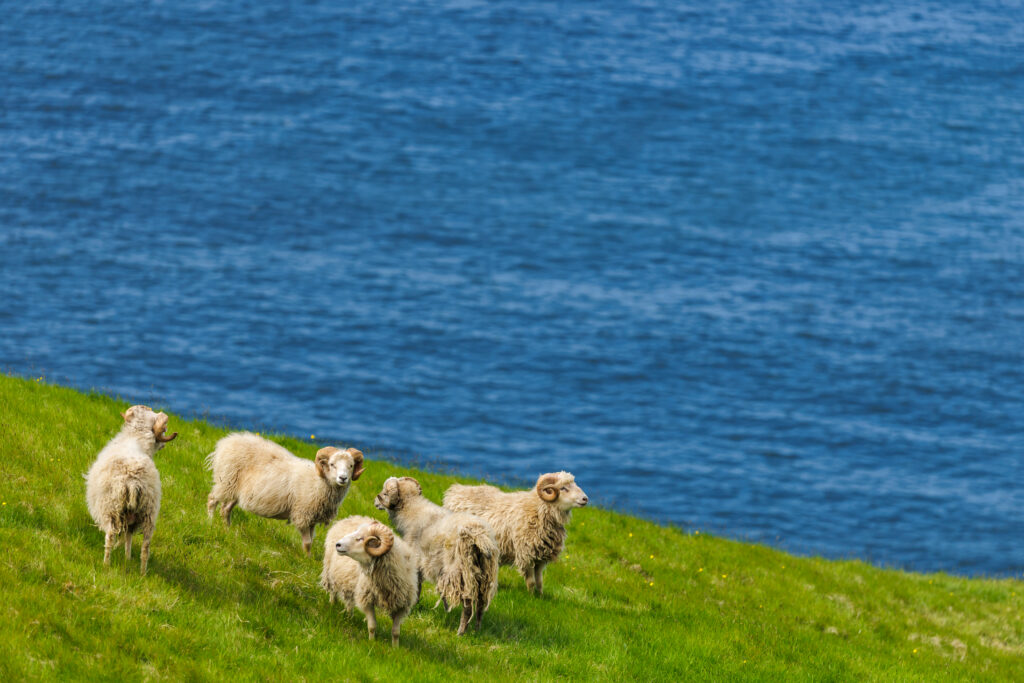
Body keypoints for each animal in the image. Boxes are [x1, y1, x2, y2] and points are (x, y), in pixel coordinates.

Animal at [85, 404, 178, 574]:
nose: (163, 445)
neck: (135, 439)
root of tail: (134, 481)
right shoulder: (132, 518)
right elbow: (128, 538)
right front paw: (127, 558)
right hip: (148, 514)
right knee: (145, 548)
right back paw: (142, 573)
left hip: (112, 509)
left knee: (110, 536)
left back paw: (106, 564)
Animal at [206, 432, 364, 554]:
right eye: (332, 464)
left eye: (351, 466)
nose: (343, 478)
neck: (319, 481)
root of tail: (225, 442)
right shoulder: (302, 515)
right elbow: (307, 542)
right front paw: (306, 559)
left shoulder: (313, 518)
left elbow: (311, 541)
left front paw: (309, 558)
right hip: (225, 482)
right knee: (212, 500)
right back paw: (211, 523)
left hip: (235, 490)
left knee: (225, 509)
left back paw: (227, 530)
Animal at [321, 515, 421, 646]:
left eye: (361, 538)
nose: (338, 544)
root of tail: (348, 518)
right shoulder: (366, 600)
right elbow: (372, 626)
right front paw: (372, 642)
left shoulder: (402, 606)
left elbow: (396, 632)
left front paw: (395, 647)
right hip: (329, 572)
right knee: (332, 590)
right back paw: (333, 604)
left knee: (349, 602)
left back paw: (349, 616)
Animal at [374, 477, 499, 635]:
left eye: (385, 493)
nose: (375, 502)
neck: (411, 509)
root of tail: (479, 535)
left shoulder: (417, 560)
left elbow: (417, 586)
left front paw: (412, 607)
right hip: (483, 573)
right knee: (481, 605)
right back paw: (476, 630)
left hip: (460, 571)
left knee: (468, 606)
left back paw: (460, 633)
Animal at [443, 472, 588, 595]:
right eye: (563, 488)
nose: (585, 499)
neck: (537, 509)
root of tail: (454, 491)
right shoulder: (526, 554)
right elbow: (531, 582)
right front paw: (531, 597)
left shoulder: (541, 556)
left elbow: (539, 581)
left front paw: (540, 596)